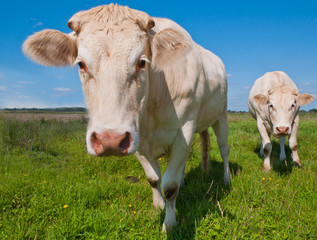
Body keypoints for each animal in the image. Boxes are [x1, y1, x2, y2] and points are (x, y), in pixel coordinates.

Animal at [22, 3, 230, 232]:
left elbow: (170, 185)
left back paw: (227, 178)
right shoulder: (135, 136)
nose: (109, 140)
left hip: (221, 115)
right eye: (81, 64)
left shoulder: (184, 127)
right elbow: (154, 179)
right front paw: (158, 206)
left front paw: (169, 224)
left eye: (142, 62)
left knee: (223, 149)